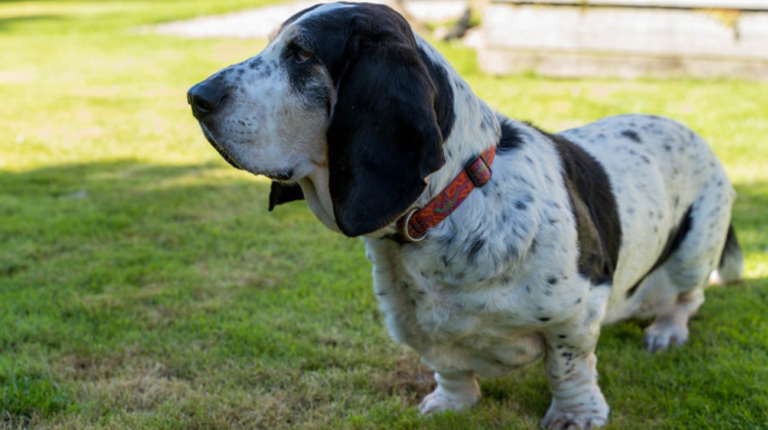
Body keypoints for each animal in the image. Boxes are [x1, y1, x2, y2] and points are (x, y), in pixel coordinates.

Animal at [184, 2, 736, 426]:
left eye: (301, 54)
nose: (195, 97)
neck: (449, 209)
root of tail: (690, 131)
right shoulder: (410, 322)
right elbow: (446, 365)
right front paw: (451, 403)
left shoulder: (577, 311)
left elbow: (568, 367)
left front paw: (576, 415)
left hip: (694, 251)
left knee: (687, 298)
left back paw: (666, 331)